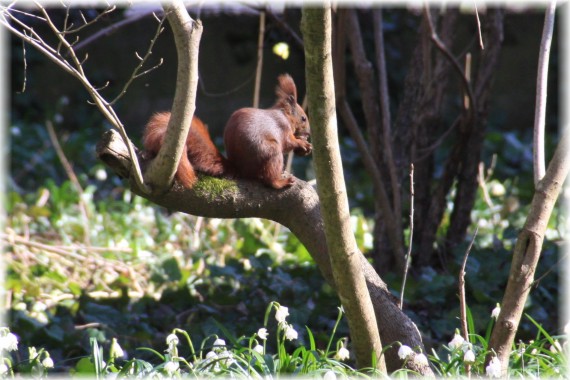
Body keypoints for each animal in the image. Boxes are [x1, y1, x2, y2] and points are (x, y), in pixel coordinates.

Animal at [142, 72, 310, 190]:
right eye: (303, 118)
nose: (308, 134)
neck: (284, 114)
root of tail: (240, 168)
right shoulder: (282, 127)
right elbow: (287, 142)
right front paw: (302, 144)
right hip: (270, 152)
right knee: (269, 177)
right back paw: (280, 182)